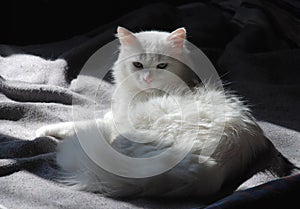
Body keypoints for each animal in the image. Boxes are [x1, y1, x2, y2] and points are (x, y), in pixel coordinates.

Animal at [36, 26, 296, 198]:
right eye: (138, 65)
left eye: (162, 66)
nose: (148, 78)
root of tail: (210, 168)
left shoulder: (113, 121)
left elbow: (75, 124)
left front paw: (43, 131)